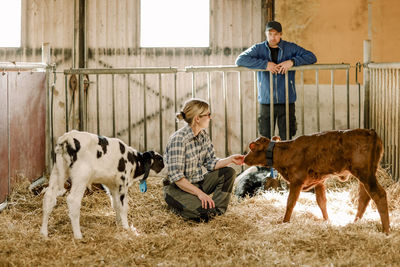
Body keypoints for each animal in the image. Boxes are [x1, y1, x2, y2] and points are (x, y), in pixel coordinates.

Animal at [244, 130, 390, 234]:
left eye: (251, 148)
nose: (244, 158)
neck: (285, 152)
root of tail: (371, 132)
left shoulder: (296, 181)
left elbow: (290, 203)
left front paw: (284, 222)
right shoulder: (319, 181)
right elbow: (321, 202)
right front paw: (327, 221)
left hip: (366, 174)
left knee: (379, 195)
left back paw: (386, 230)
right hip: (364, 176)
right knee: (364, 198)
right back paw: (355, 222)